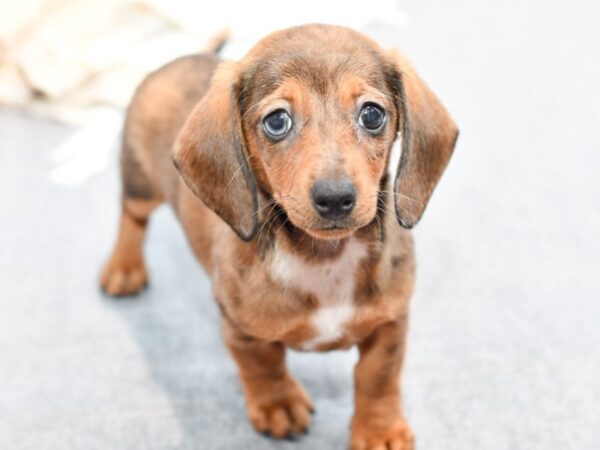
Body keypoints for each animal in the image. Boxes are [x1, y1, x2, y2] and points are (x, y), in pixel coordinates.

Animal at [102, 23, 460, 450]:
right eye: (277, 121)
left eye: (372, 114)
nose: (335, 198)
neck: (324, 258)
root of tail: (182, 58)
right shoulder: (242, 330)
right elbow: (264, 366)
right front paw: (278, 404)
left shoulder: (389, 323)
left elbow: (378, 377)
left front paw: (379, 430)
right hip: (141, 184)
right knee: (131, 215)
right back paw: (124, 267)